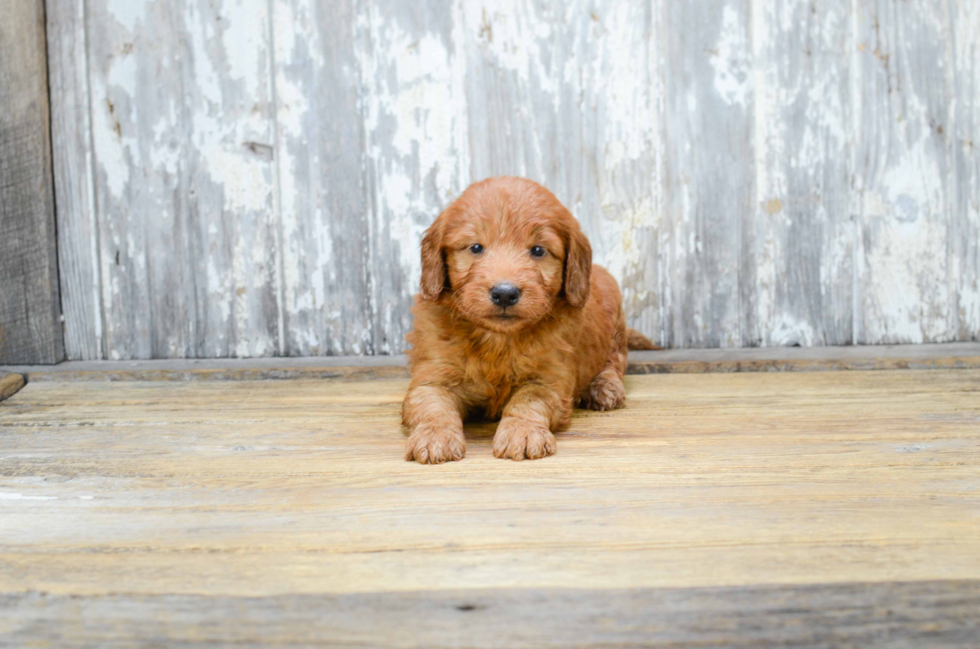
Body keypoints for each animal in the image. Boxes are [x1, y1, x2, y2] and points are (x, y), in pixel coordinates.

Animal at [398, 175, 660, 464]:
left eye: (537, 250)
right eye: (475, 247)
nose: (504, 293)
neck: (497, 341)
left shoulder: (550, 378)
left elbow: (527, 399)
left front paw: (521, 433)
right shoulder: (433, 374)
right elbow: (432, 404)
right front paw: (435, 436)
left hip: (615, 329)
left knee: (614, 361)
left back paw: (603, 388)